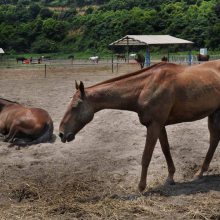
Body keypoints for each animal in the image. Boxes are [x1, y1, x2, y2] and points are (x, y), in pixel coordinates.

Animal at [58, 59, 220, 191]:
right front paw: (170, 178)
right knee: (214, 140)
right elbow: (166, 149)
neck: (145, 87)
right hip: (214, 113)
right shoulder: (159, 125)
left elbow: (146, 157)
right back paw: (200, 173)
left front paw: (141, 187)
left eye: (76, 106)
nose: (61, 133)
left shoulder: (154, 125)